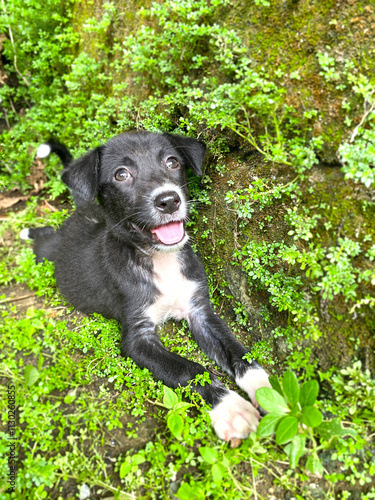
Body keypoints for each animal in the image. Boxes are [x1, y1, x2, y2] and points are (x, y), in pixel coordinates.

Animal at [21, 131, 270, 440]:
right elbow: (188, 369)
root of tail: (84, 209)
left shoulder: (200, 311)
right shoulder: (137, 338)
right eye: (121, 174)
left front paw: (267, 390)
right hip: (47, 253)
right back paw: (29, 231)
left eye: (172, 161)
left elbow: (237, 350)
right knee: (44, 238)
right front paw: (231, 407)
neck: (160, 260)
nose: (169, 200)